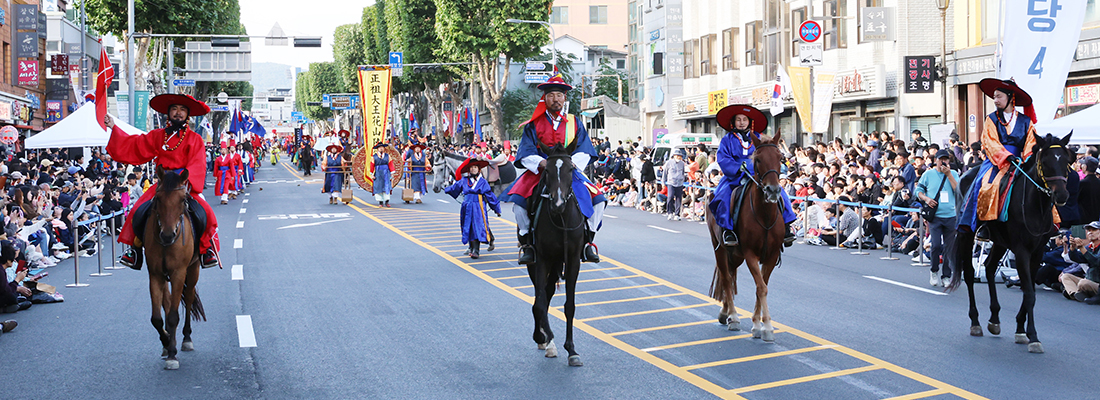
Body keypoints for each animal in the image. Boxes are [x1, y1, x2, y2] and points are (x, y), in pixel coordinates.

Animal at [145, 165, 206, 369]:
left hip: (193, 269)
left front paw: (172, 353)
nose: (167, 235)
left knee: (188, 297)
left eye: (182, 200)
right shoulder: (155, 274)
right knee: (168, 301)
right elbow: (157, 318)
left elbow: (173, 316)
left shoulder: (179, 273)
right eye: (158, 198)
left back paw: (186, 338)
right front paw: (166, 342)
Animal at [528, 140, 589, 364]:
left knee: (547, 292)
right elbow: (539, 303)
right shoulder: (541, 258)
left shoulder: (572, 260)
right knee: (540, 298)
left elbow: (569, 306)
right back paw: (544, 339)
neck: (560, 219)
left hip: (556, 264)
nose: (558, 203)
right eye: (546, 170)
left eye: (571, 169)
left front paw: (571, 349)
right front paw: (547, 338)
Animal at [708, 132, 787, 342]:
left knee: (730, 274)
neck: (764, 215)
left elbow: (762, 286)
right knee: (726, 278)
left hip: (736, 254)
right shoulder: (751, 253)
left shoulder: (771, 255)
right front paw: (766, 327)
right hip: (719, 248)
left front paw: (758, 324)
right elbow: (761, 287)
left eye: (780, 158)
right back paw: (733, 316)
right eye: (757, 159)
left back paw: (725, 312)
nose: (773, 190)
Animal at [946, 131, 1073, 353]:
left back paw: (994, 318)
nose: (1062, 194)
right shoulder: (1021, 250)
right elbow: (1029, 292)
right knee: (969, 274)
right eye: (1045, 162)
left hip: (1000, 241)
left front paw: (1021, 329)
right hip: (966, 234)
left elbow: (1029, 289)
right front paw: (1033, 336)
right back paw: (976, 322)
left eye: (1066, 160)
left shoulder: (1037, 251)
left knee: (989, 267)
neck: (1035, 206)